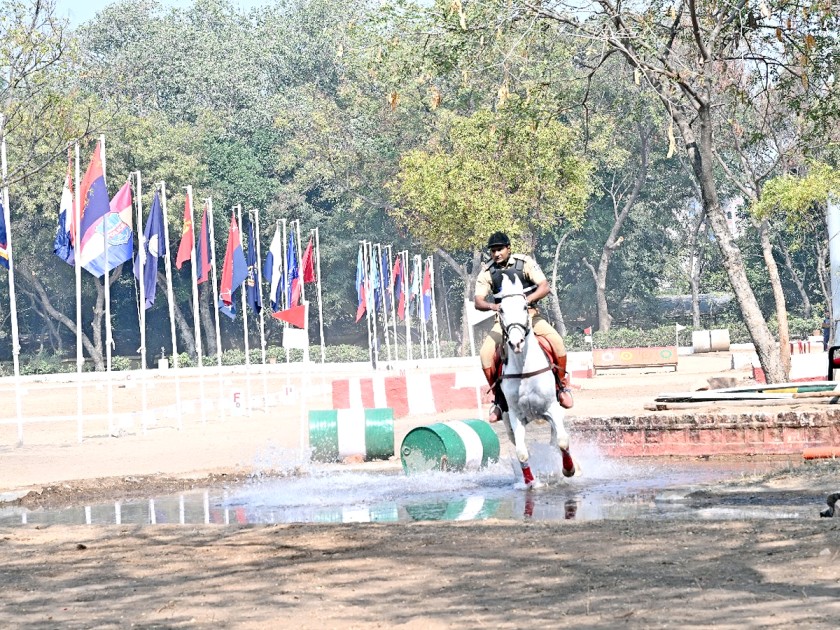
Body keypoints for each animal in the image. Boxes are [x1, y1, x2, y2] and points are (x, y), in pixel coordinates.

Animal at [498, 274, 576, 486]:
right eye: (501, 309)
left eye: (525, 306)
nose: (516, 343)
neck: (524, 371)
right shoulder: (516, 416)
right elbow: (522, 453)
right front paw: (531, 482)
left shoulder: (552, 408)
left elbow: (562, 441)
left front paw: (569, 469)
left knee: (555, 439)